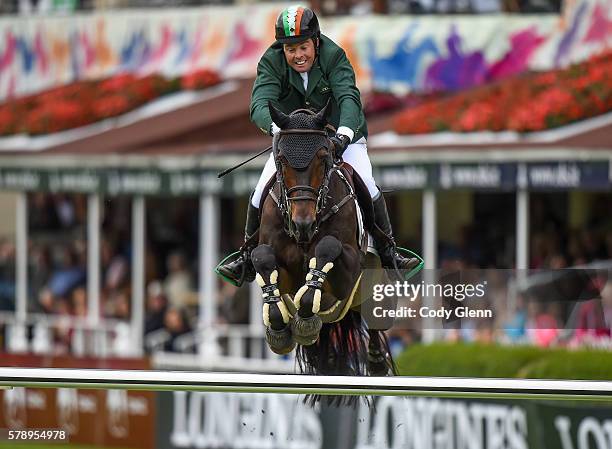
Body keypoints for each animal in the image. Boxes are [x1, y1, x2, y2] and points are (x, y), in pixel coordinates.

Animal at [249, 100, 396, 378]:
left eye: (323, 157)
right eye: (281, 160)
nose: (302, 224)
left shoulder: (348, 275)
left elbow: (329, 248)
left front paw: (306, 318)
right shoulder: (282, 272)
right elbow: (261, 257)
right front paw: (279, 328)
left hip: (377, 289)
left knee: (376, 320)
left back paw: (376, 361)